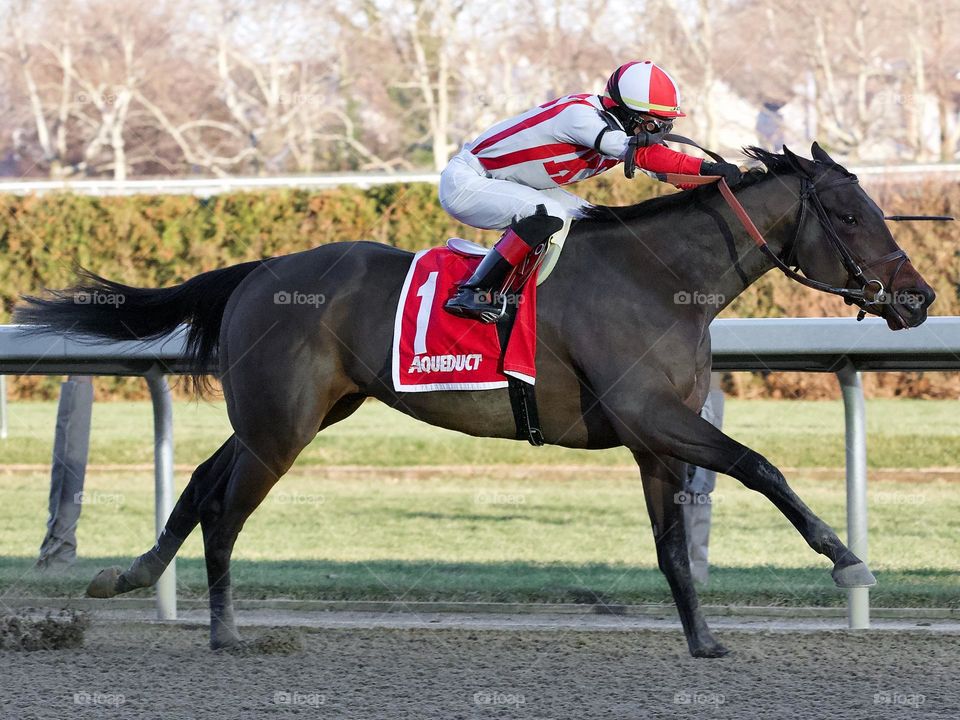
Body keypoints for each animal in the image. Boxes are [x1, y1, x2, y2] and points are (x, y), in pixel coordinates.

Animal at [16, 142, 936, 660]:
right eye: (850, 213)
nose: (920, 297)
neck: (661, 280)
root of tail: (261, 269)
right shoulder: (651, 416)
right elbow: (760, 466)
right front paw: (847, 557)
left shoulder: (655, 439)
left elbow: (675, 547)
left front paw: (705, 642)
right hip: (284, 425)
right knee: (225, 507)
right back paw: (223, 631)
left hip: (294, 414)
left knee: (206, 480)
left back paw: (130, 576)